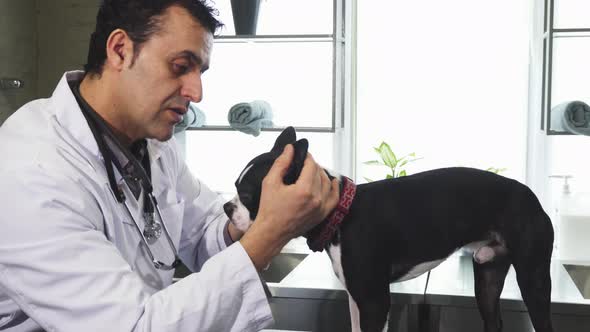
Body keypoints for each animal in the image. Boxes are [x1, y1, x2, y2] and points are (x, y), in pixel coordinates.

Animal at [224, 127, 556, 332]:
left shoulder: (374, 301)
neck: (340, 212)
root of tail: (532, 197)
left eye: (248, 195)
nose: (227, 207)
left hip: (533, 277)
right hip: (488, 274)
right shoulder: (357, 299)